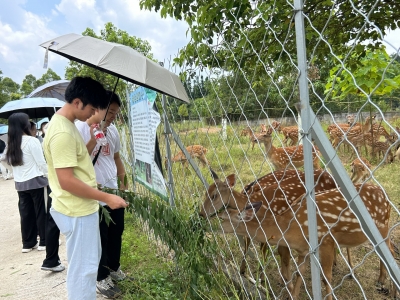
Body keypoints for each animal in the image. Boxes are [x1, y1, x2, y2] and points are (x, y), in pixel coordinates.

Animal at [211, 175, 396, 298]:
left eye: (222, 217)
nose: (205, 223)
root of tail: (386, 195)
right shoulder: (304, 251)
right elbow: (299, 273)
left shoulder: (326, 242)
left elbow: (326, 278)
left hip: (383, 228)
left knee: (391, 252)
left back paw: (388, 286)